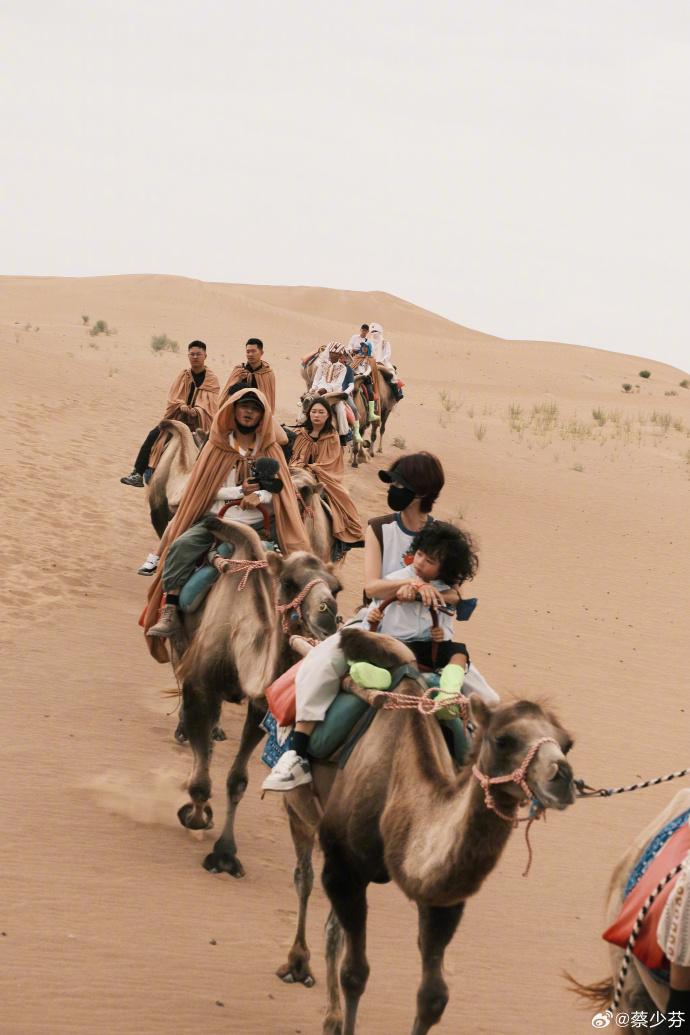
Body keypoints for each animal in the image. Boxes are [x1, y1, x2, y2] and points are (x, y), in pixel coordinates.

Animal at [171, 521, 341, 877]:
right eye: (289, 583)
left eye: (337, 588)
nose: (328, 616)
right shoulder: (201, 687)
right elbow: (202, 780)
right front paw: (195, 816)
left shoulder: (260, 706)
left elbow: (237, 780)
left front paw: (225, 854)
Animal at [277, 625, 579, 1030]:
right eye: (503, 739)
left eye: (567, 744)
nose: (562, 778)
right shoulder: (344, 868)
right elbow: (354, 973)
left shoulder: (440, 898)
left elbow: (432, 998)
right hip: (301, 806)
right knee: (304, 876)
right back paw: (298, 965)